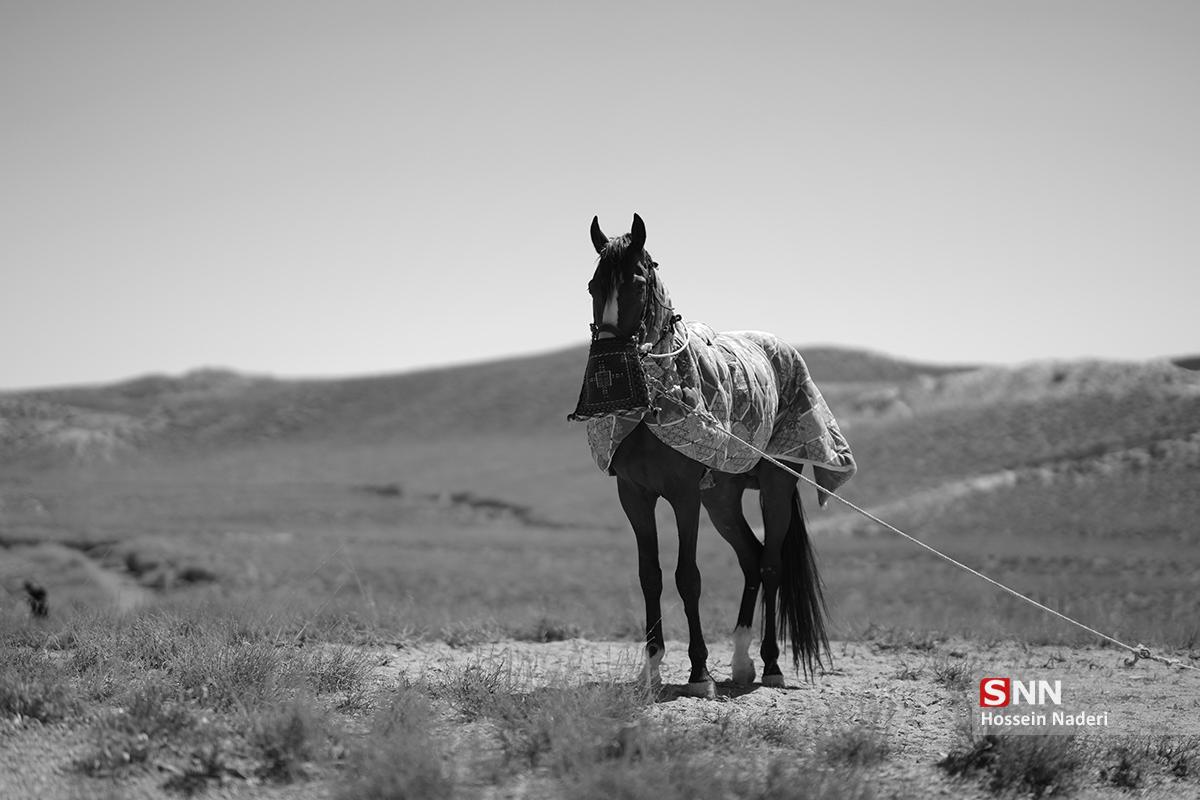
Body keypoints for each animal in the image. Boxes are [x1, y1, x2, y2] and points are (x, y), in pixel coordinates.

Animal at [571, 215, 854, 695]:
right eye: (593, 286)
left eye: (637, 284)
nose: (608, 362)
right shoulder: (634, 496)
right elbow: (650, 576)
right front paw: (651, 670)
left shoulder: (684, 495)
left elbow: (688, 577)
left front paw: (699, 672)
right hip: (721, 497)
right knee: (751, 559)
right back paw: (741, 662)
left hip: (774, 487)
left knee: (771, 565)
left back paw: (771, 665)